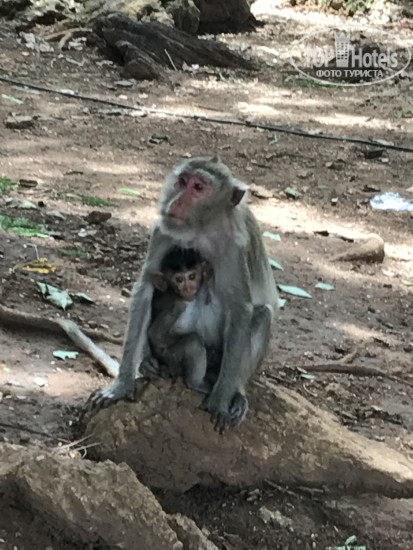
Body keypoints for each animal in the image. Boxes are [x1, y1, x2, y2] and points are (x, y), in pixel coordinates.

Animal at [140, 246, 213, 395]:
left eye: (192, 276)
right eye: (179, 279)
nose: (188, 288)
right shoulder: (175, 304)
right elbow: (154, 335)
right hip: (174, 363)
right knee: (192, 341)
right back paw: (196, 383)